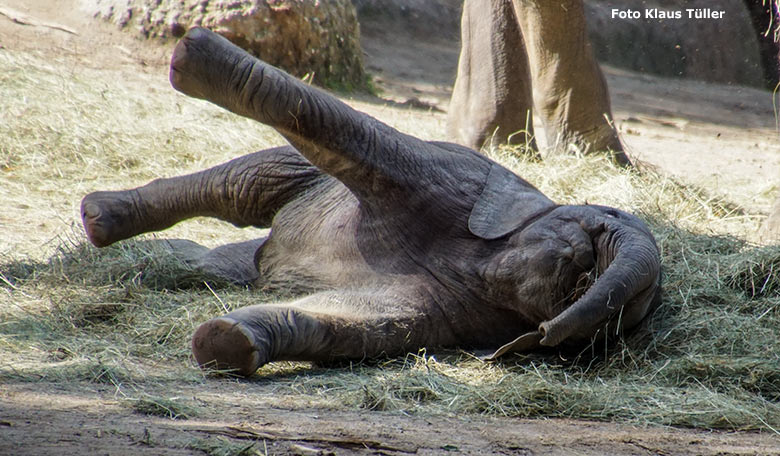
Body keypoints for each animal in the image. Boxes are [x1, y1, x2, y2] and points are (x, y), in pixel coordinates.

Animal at [80, 29, 664, 378]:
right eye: (586, 246)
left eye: (583, 286)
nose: (578, 270)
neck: (480, 260)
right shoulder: (448, 181)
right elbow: (356, 134)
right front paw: (194, 56)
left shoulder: (458, 312)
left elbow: (352, 322)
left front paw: (226, 344)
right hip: (303, 184)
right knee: (244, 185)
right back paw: (98, 218)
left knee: (219, 251)